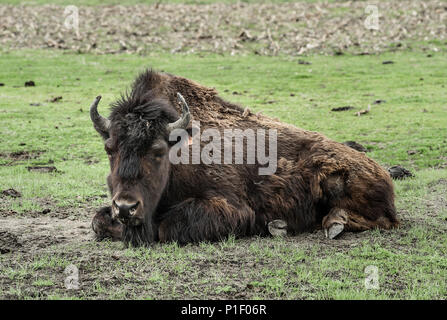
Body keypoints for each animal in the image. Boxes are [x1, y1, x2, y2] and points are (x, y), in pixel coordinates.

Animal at [90, 69, 400, 246]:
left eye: (157, 151)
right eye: (109, 149)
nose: (126, 207)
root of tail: (382, 173)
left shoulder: (233, 208)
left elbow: (167, 228)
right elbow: (98, 220)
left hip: (337, 180)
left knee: (384, 221)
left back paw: (331, 224)